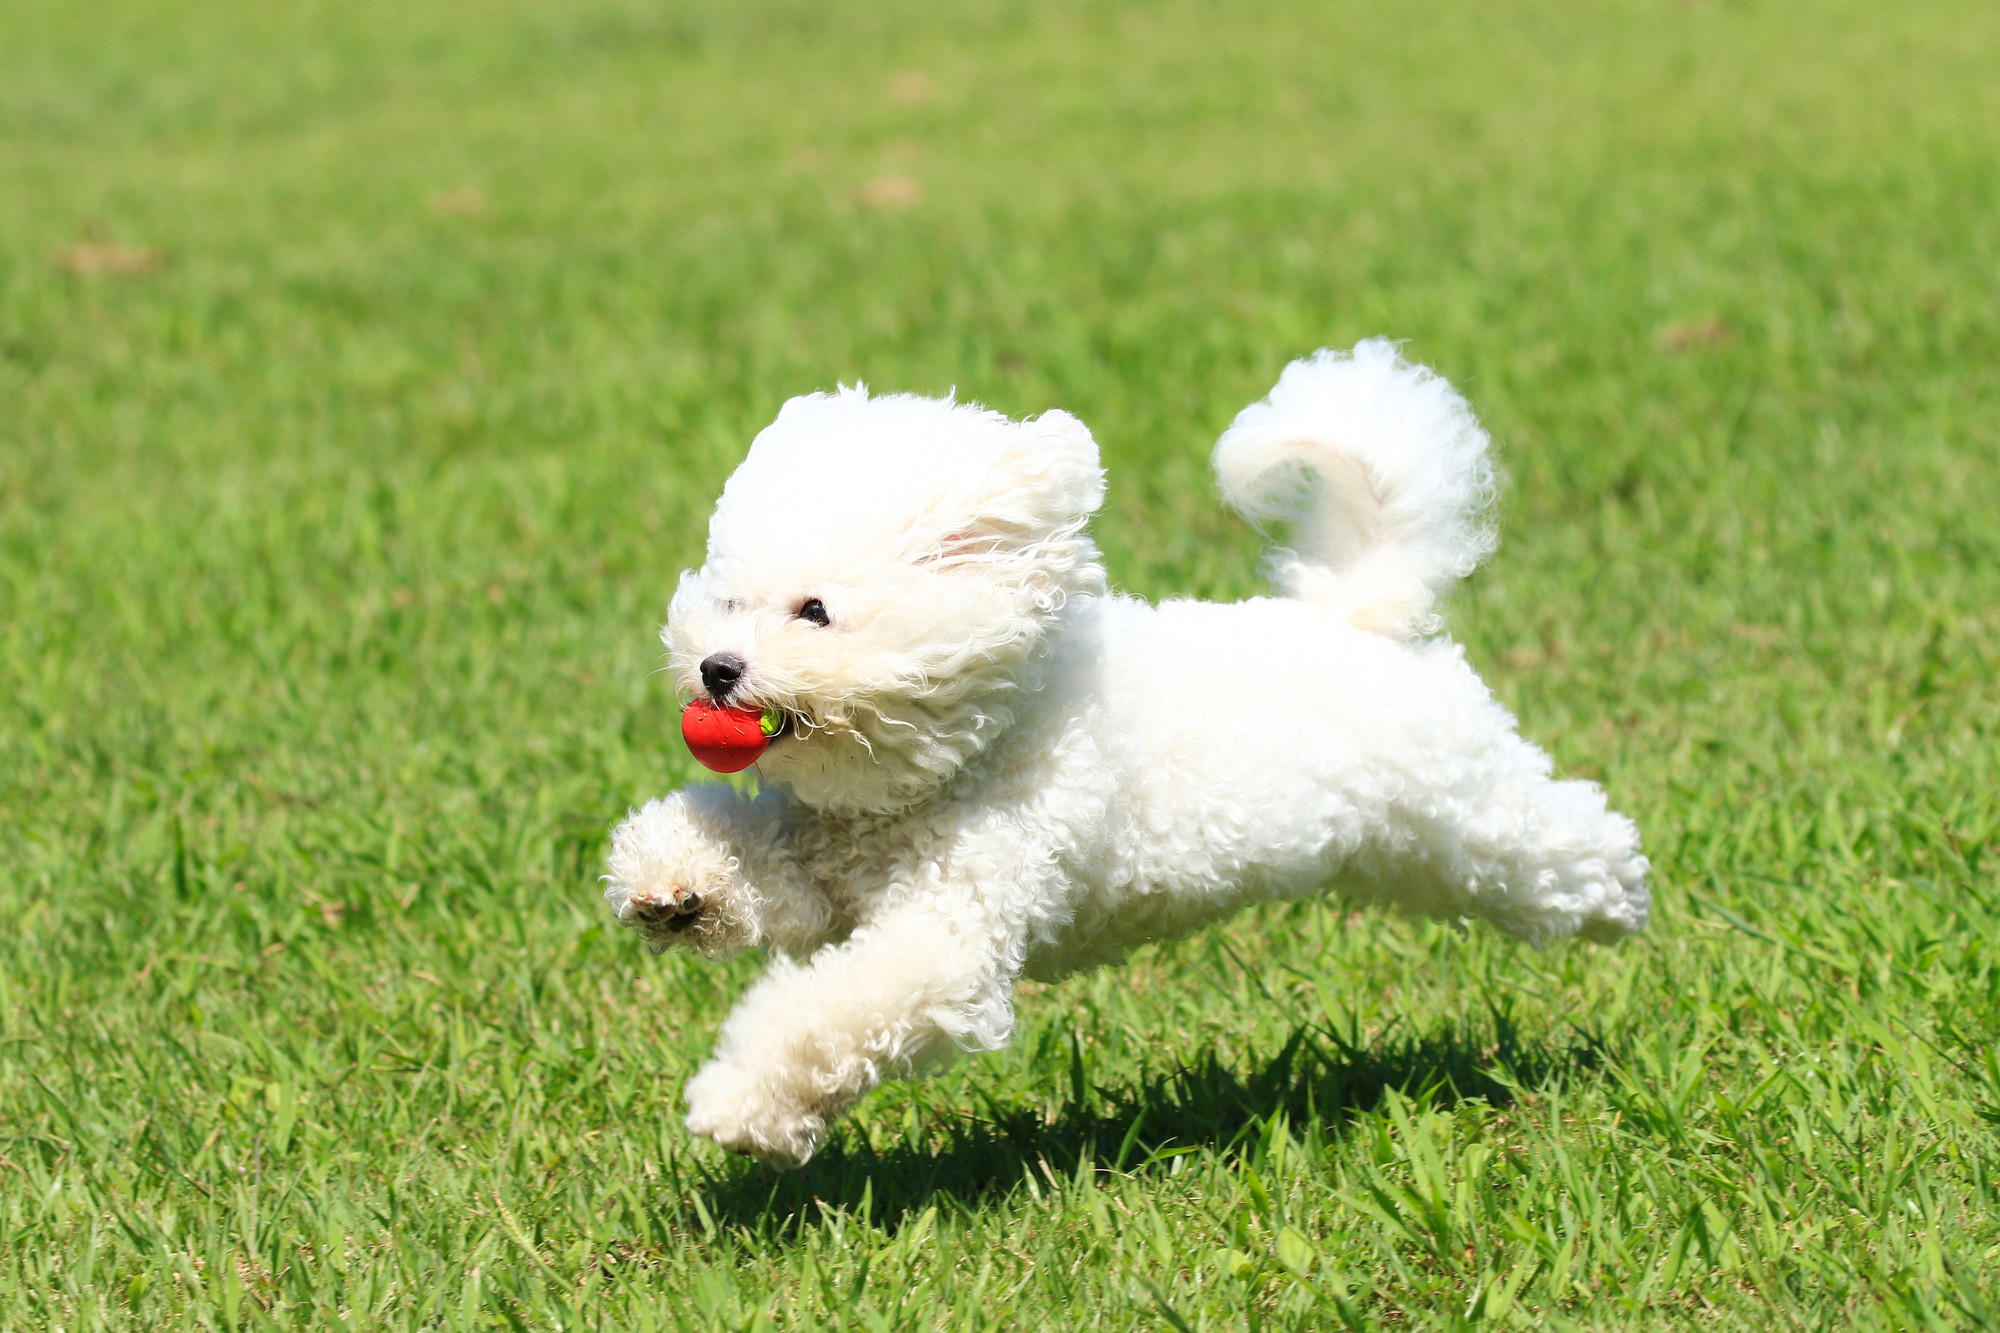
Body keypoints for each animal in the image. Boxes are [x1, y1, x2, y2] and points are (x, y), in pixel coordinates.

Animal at [600, 340, 1648, 1160]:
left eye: (814, 610)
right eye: (727, 599)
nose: (716, 670)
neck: (957, 757)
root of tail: (1361, 612)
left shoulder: (954, 926)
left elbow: (834, 1012)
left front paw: (743, 1105)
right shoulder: (825, 861)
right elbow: (755, 863)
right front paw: (675, 888)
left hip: (1471, 816)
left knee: (1570, 844)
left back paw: (1624, 902)